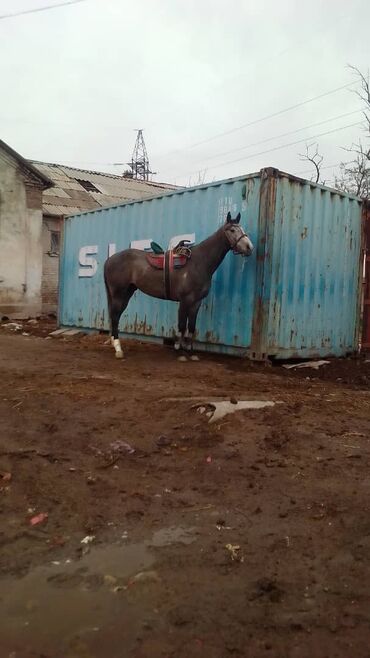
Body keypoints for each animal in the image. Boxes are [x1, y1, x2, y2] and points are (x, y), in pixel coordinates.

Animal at [104, 211, 254, 358]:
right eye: (232, 230)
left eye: (242, 228)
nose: (249, 247)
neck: (199, 261)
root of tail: (110, 260)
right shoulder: (185, 300)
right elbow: (182, 325)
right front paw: (179, 350)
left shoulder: (196, 302)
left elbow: (191, 326)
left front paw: (189, 351)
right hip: (118, 294)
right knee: (115, 317)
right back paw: (118, 348)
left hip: (127, 292)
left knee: (115, 316)